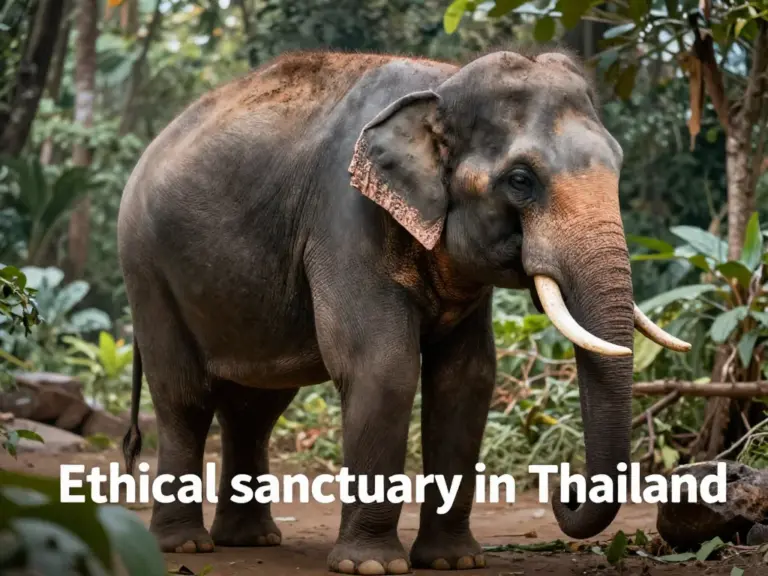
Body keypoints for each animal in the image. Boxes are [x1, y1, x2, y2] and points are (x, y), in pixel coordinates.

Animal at [117, 47, 690, 575]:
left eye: (617, 163)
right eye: (521, 180)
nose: (562, 492)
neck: (445, 82)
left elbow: (468, 378)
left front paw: (455, 561)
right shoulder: (345, 217)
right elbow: (383, 368)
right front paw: (371, 566)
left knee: (254, 406)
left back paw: (253, 539)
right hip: (147, 270)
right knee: (184, 398)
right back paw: (186, 546)